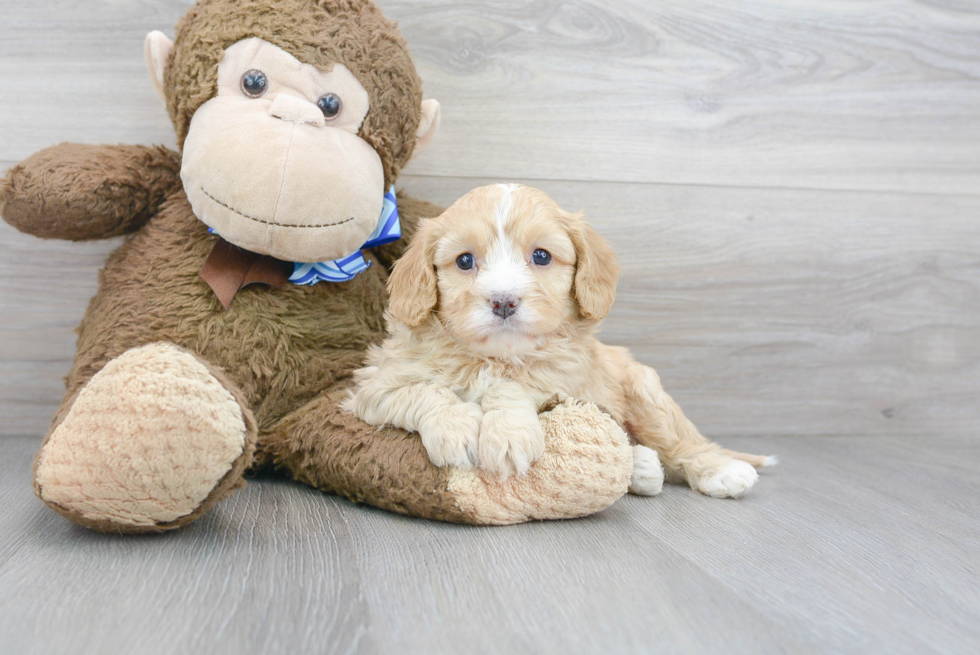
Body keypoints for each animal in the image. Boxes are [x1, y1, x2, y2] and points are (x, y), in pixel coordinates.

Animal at [348, 183, 776, 498]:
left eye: (541, 256)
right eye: (465, 261)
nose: (504, 301)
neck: (494, 358)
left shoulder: (561, 378)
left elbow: (511, 387)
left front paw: (508, 434)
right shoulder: (373, 387)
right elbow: (424, 391)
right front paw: (456, 430)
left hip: (645, 389)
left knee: (679, 442)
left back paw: (718, 469)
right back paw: (642, 466)